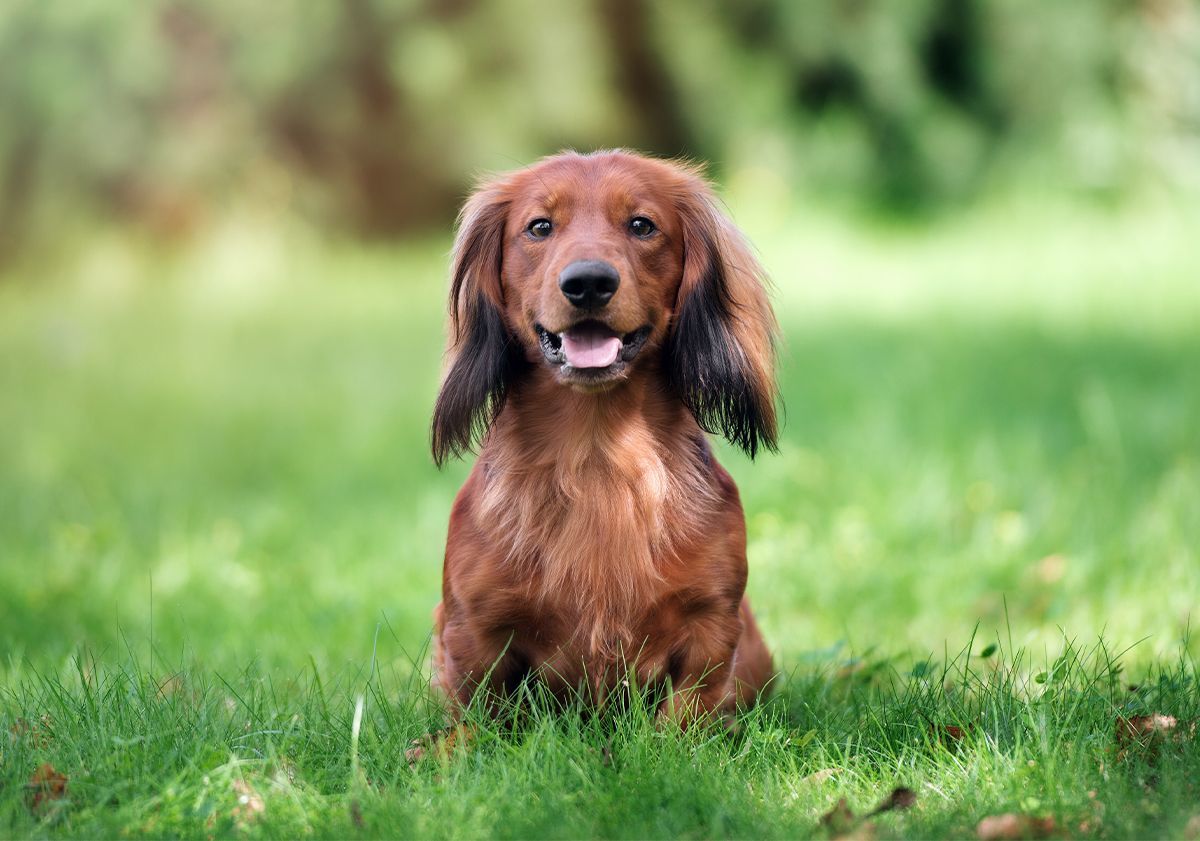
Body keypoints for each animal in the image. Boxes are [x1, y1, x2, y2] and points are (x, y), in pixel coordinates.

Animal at [427, 147, 772, 724]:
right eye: (539, 227)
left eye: (642, 225)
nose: (588, 282)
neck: (597, 454)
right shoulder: (473, 626)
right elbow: (479, 717)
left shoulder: (711, 622)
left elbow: (686, 717)